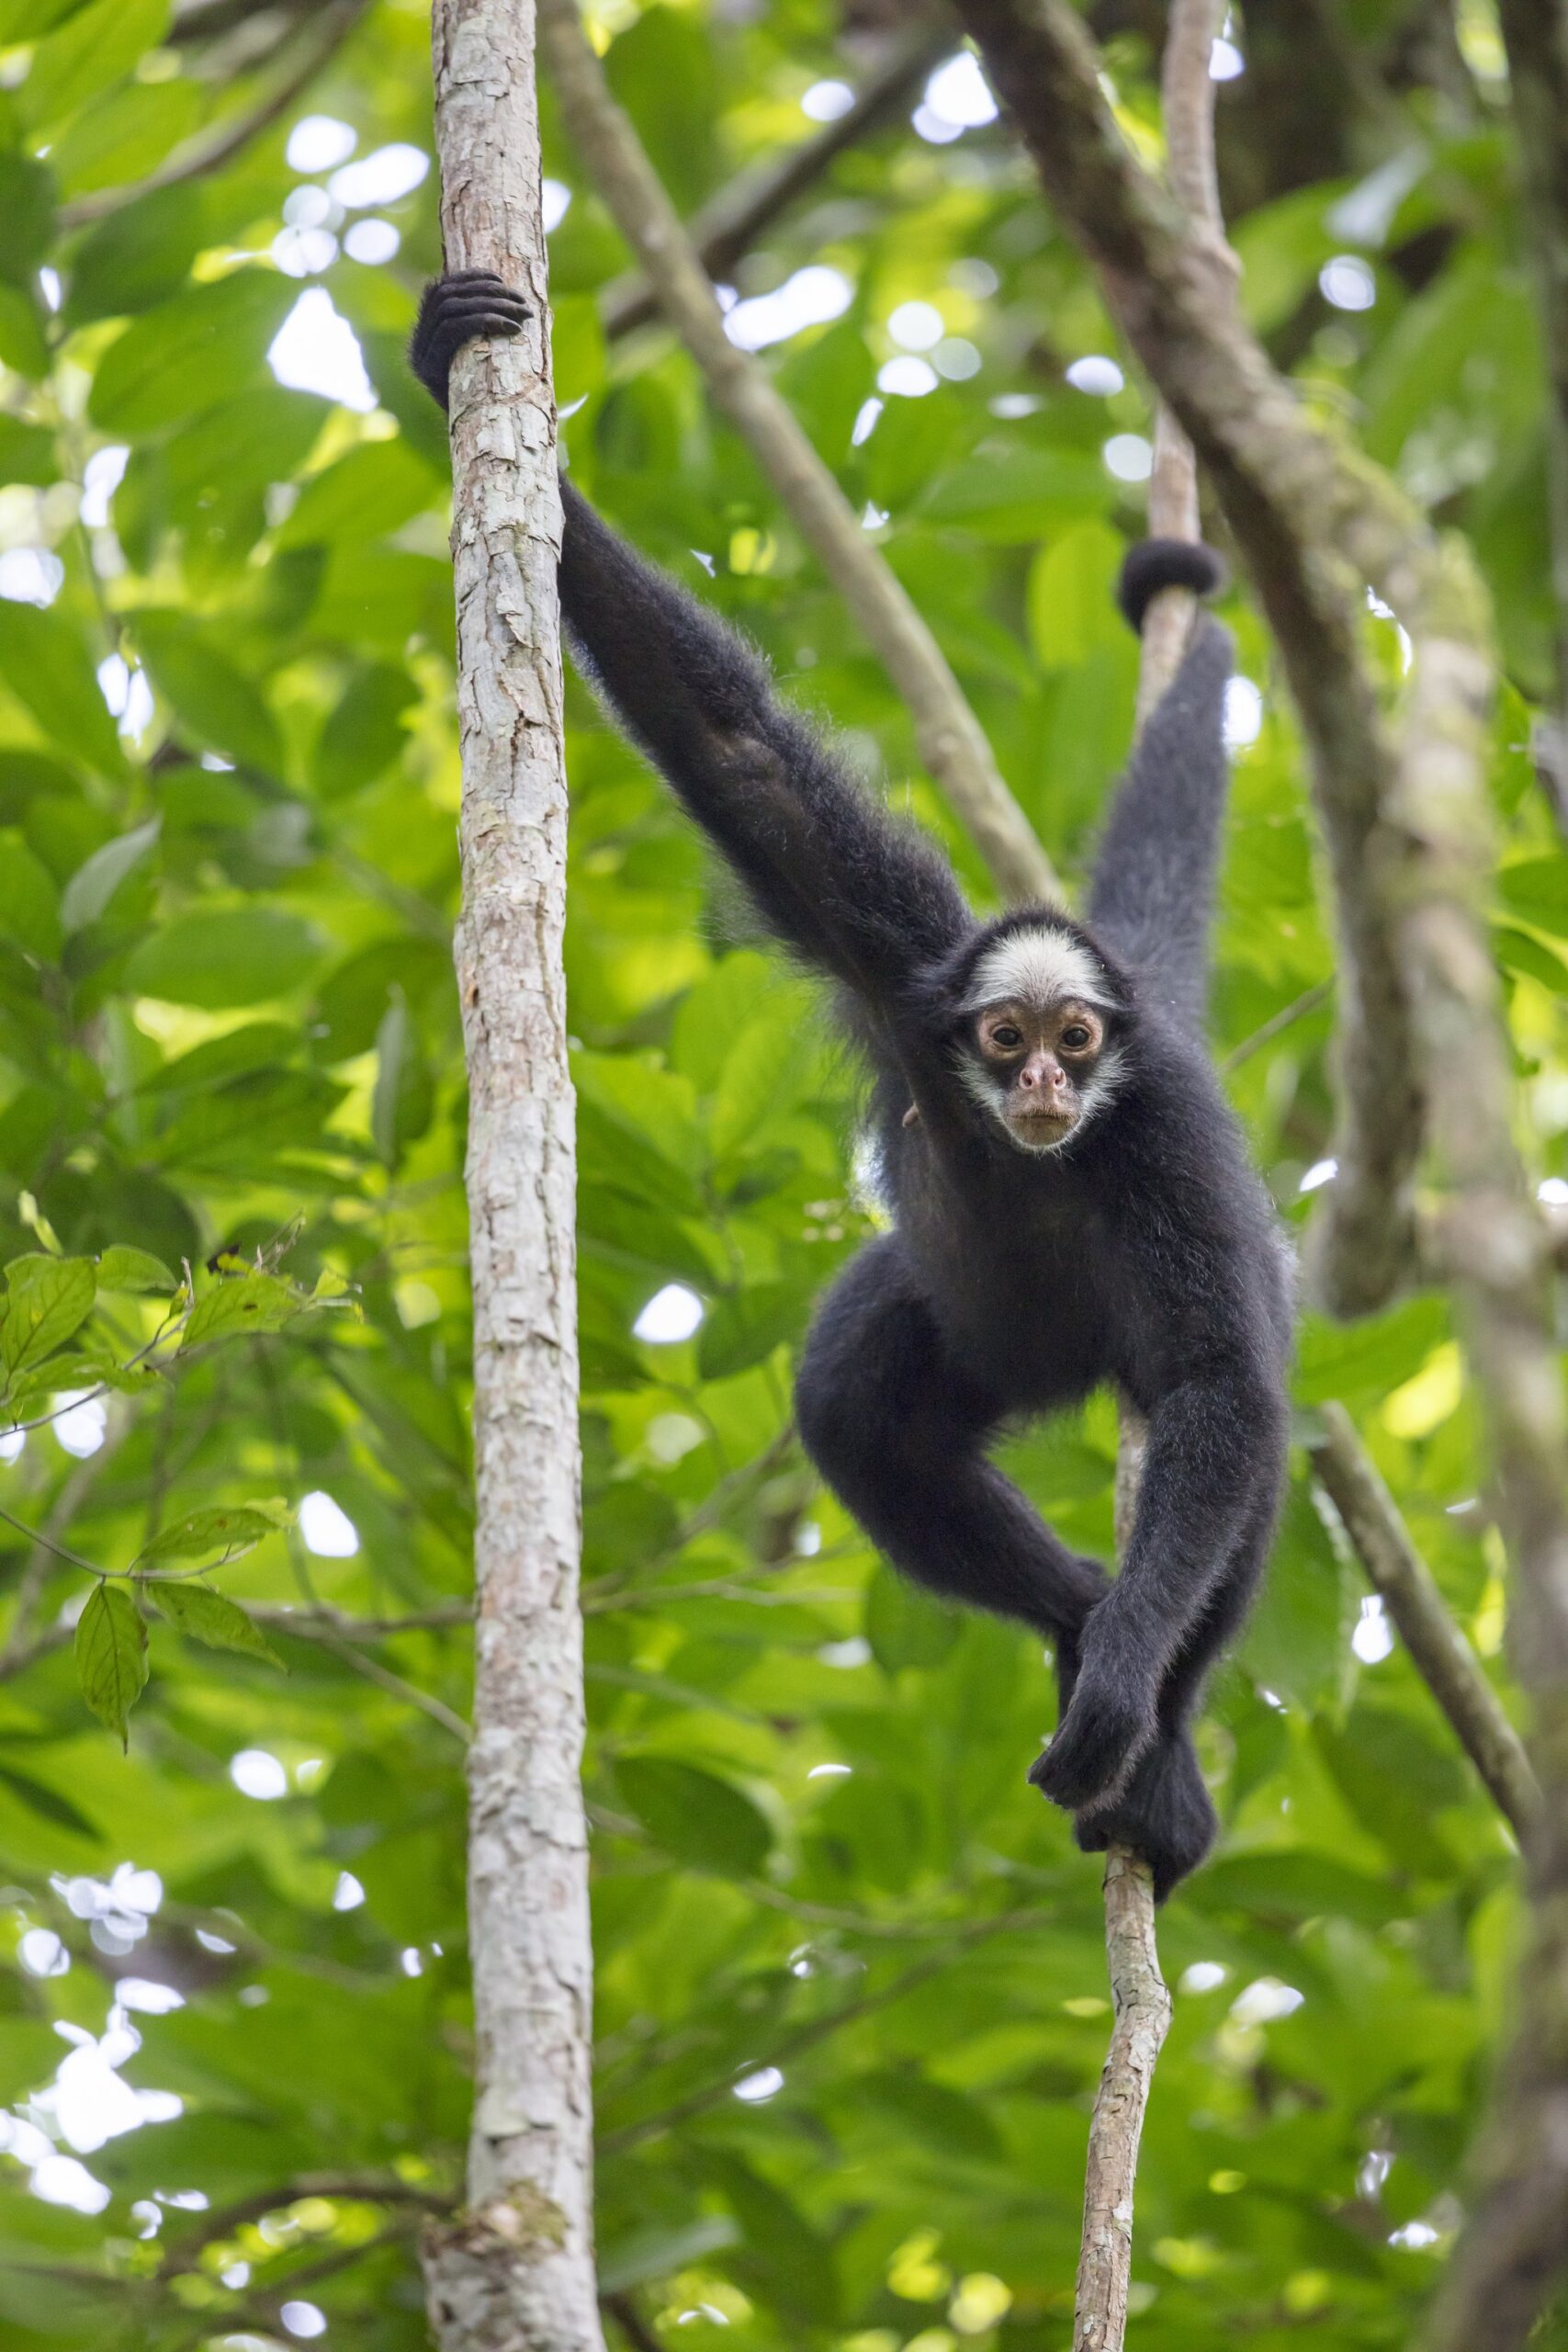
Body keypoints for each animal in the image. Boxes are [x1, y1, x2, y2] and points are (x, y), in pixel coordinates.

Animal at [411, 273, 1293, 1898]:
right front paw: (455, 365)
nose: (1042, 1084)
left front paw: (1127, 1686)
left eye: (1075, 1044)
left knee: (1241, 1411)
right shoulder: (904, 969)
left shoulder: (1164, 1133)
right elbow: (735, 754)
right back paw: (1075, 1604)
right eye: (1002, 1043)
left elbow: (1218, 1388)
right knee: (855, 1408)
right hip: (968, 1327)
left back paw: (1148, 1732)